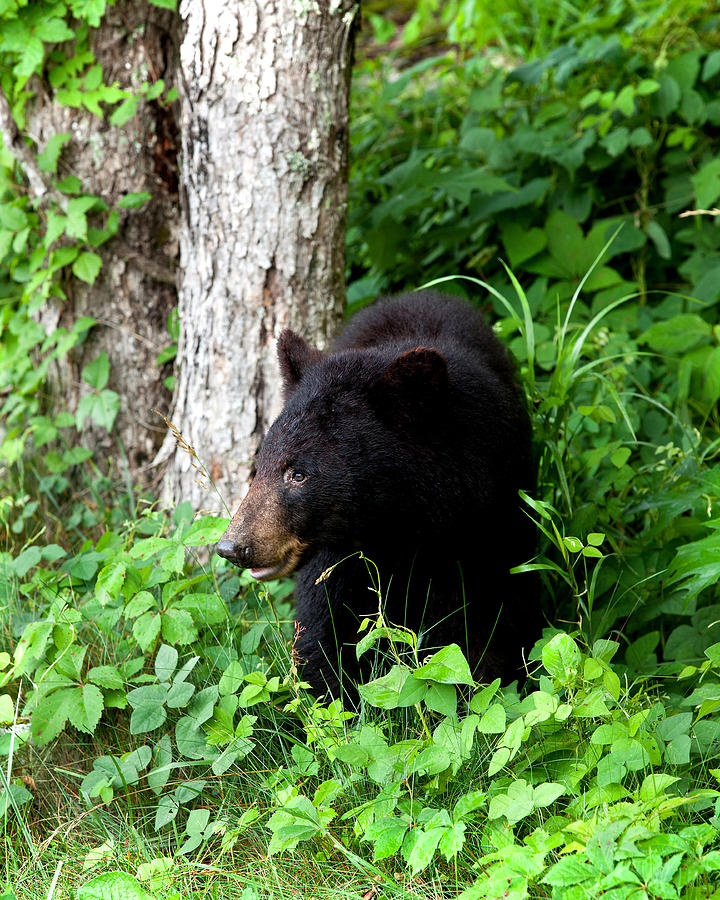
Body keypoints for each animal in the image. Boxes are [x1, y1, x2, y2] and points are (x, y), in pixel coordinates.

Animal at [217, 292, 536, 700]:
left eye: (299, 474)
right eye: (260, 465)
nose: (233, 546)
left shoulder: (487, 526)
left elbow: (483, 629)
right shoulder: (337, 561)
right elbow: (323, 627)